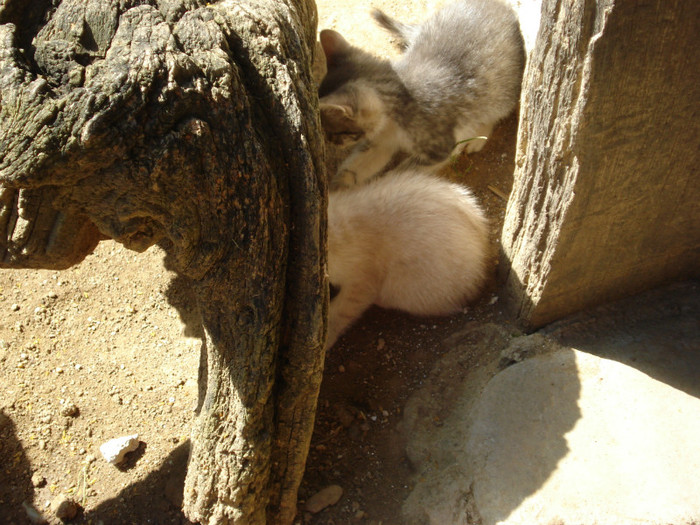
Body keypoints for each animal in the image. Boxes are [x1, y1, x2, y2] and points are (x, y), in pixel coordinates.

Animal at [320, 0, 524, 188]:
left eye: (334, 132)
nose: (329, 141)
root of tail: (499, 5)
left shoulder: (440, 149)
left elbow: (403, 173)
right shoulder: (379, 143)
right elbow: (354, 167)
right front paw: (338, 189)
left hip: (501, 92)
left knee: (492, 112)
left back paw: (478, 136)